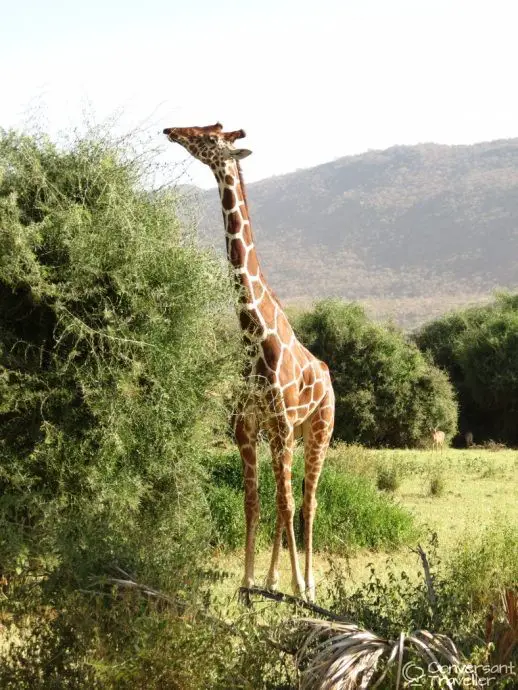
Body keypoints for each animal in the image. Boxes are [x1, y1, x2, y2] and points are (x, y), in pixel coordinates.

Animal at [164, 121, 338, 600]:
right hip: (293, 433)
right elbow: (253, 500)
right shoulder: (248, 424)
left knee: (308, 499)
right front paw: (247, 583)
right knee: (284, 498)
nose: (171, 130)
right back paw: (273, 578)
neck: (254, 332)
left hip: (318, 428)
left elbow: (287, 501)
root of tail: (328, 375)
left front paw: (297, 587)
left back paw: (307, 582)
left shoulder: (278, 422)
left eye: (209, 137)